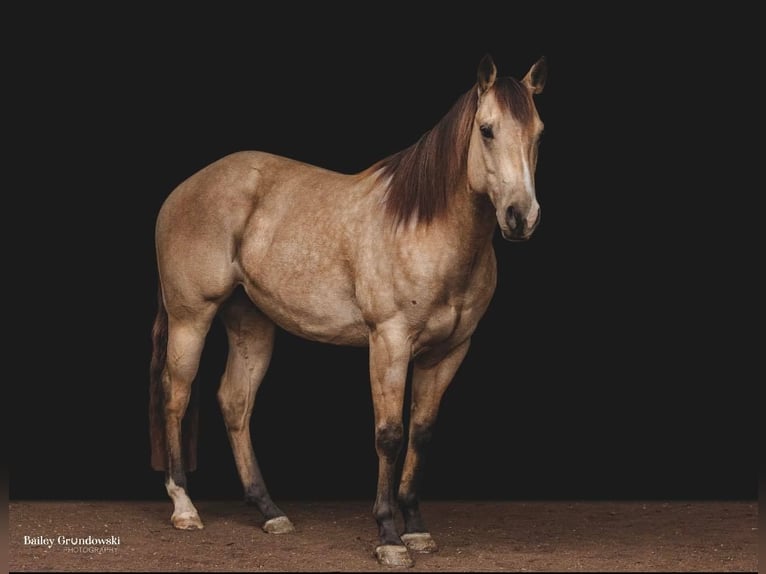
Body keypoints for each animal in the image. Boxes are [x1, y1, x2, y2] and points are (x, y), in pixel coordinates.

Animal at [148, 55, 544, 572]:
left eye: (538, 133)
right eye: (487, 130)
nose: (521, 216)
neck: (424, 227)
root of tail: (182, 190)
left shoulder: (449, 351)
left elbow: (421, 433)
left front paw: (416, 528)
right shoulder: (389, 342)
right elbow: (390, 435)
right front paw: (389, 536)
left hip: (250, 323)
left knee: (235, 402)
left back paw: (270, 511)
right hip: (190, 317)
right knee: (176, 395)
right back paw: (184, 507)